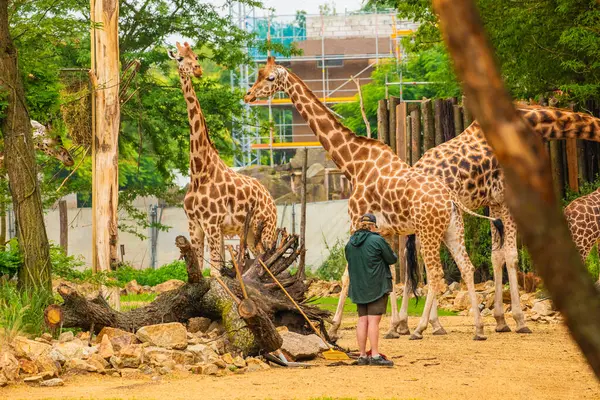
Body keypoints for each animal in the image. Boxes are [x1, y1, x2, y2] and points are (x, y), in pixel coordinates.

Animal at [168, 43, 278, 276]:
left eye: (196, 56)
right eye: (180, 58)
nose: (198, 70)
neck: (199, 171)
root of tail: (271, 200)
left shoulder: (212, 224)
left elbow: (215, 273)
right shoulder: (195, 225)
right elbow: (201, 270)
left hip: (267, 229)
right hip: (251, 235)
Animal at [244, 57, 506, 340]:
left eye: (270, 78)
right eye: (258, 73)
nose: (248, 95)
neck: (353, 163)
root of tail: (450, 198)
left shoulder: (355, 221)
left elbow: (347, 275)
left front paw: (334, 327)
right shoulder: (386, 230)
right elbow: (388, 274)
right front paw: (393, 326)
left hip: (428, 231)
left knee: (436, 274)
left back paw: (422, 328)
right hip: (451, 229)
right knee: (466, 268)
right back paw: (478, 328)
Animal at [408, 105, 600, 334]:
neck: (534, 124)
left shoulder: (495, 202)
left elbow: (496, 255)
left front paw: (501, 320)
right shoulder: (508, 198)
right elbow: (511, 255)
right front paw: (520, 320)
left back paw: (417, 325)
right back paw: (427, 324)